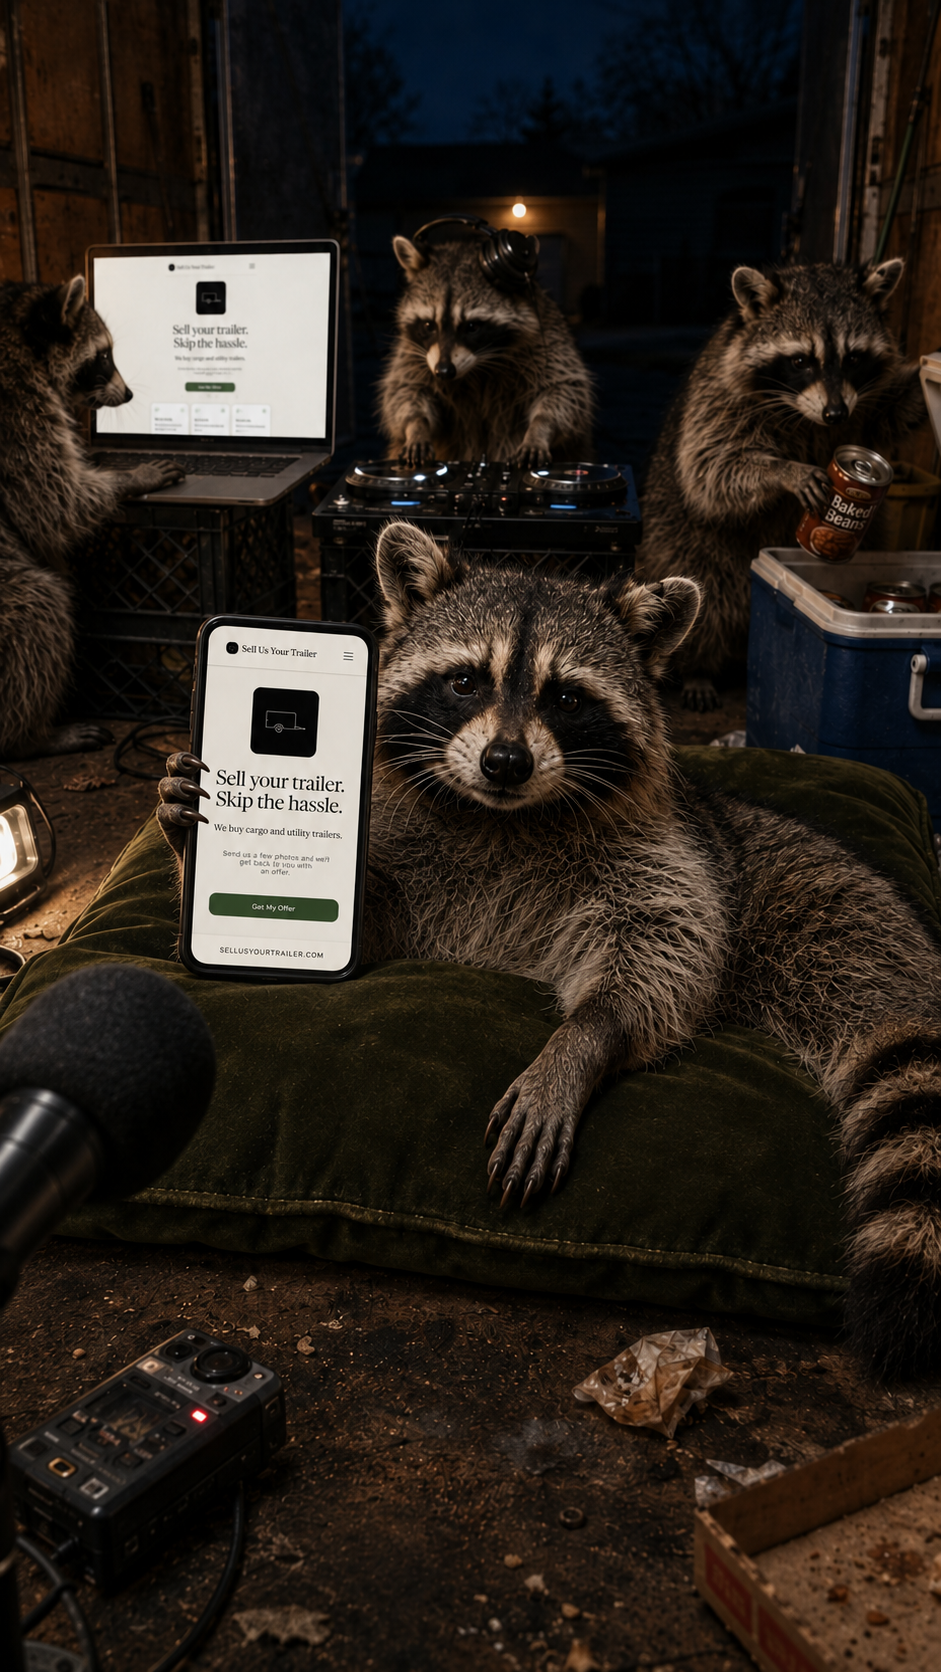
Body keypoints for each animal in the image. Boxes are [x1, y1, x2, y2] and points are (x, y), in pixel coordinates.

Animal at [0, 276, 181, 758]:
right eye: (103, 355)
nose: (130, 393)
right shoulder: (15, 415)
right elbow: (56, 503)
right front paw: (129, 478)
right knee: (39, 607)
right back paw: (27, 737)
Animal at [159, 522, 941, 1380]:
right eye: (464, 680)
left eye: (566, 697)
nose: (505, 762)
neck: (499, 816)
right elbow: (367, 927)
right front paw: (193, 846)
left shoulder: (662, 851)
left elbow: (666, 943)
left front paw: (584, 1037)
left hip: (809, 906)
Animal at [378, 236, 594, 466]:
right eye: (428, 325)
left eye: (472, 327)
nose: (443, 372)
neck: (478, 368)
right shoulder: (412, 352)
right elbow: (404, 391)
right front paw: (417, 426)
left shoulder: (547, 340)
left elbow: (565, 390)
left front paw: (540, 428)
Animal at [639, 259, 926, 710]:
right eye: (801, 360)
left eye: (854, 357)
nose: (835, 413)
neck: (806, 415)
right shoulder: (719, 396)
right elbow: (712, 467)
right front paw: (783, 470)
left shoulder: (865, 406)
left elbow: (894, 412)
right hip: (682, 540)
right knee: (706, 598)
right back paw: (700, 669)